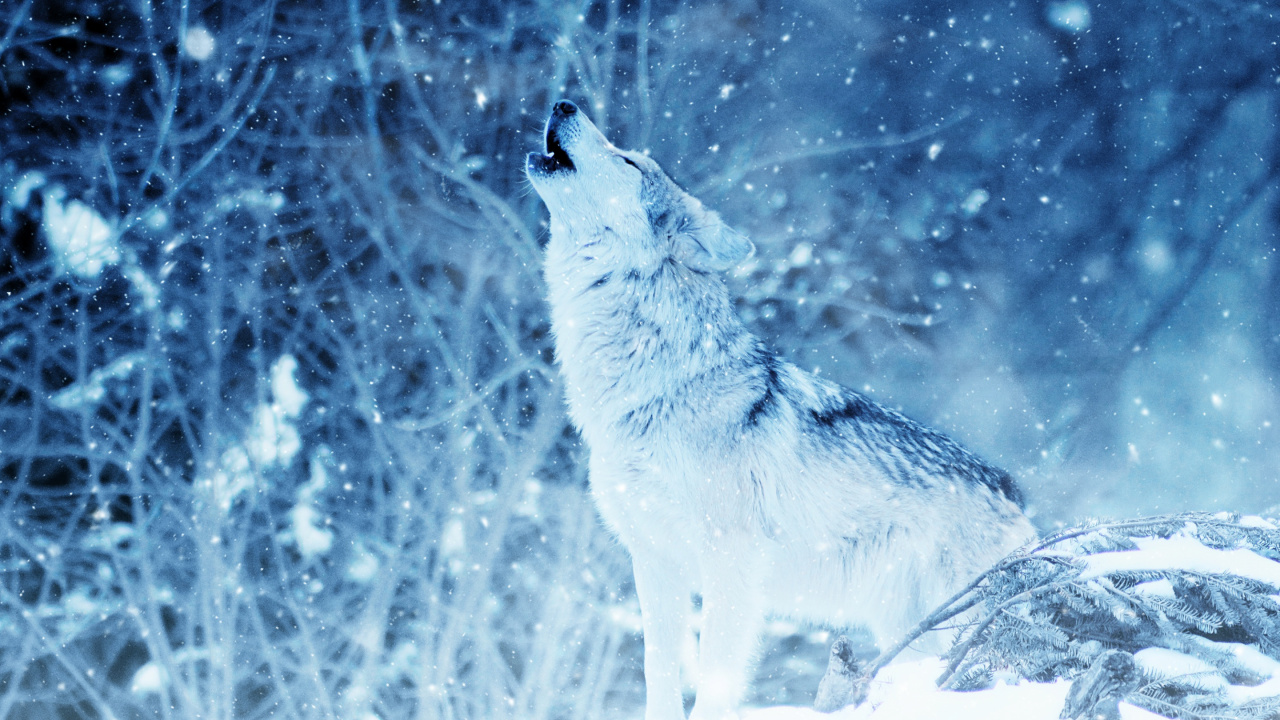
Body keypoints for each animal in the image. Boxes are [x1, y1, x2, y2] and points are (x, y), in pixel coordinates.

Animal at [525, 100, 1036, 720]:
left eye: (628, 161)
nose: (564, 103)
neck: (656, 385)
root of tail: (1013, 492)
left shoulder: (731, 565)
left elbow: (716, 681)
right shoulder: (654, 562)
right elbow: (657, 673)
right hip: (907, 629)